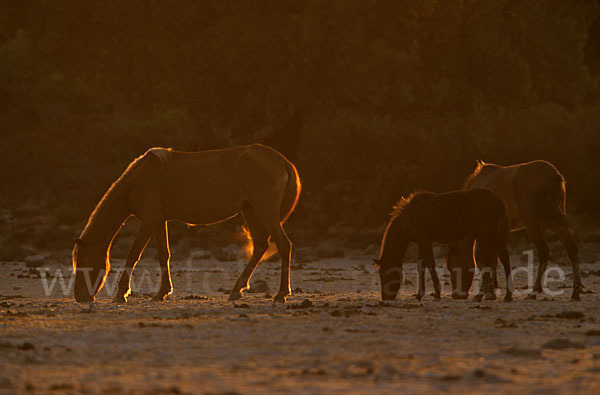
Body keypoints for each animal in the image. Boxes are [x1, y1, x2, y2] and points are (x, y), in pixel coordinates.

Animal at [72, 144, 302, 304]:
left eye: (82, 262)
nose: (80, 297)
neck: (139, 179)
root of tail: (283, 161)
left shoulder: (148, 221)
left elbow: (133, 255)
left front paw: (121, 293)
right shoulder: (158, 221)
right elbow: (163, 255)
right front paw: (162, 292)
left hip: (265, 212)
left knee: (284, 245)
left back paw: (281, 294)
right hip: (251, 211)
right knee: (261, 245)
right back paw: (237, 289)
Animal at [372, 189, 508, 304]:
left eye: (384, 274)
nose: (386, 298)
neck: (410, 216)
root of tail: (496, 199)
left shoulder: (424, 240)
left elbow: (430, 265)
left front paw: (436, 294)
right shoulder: (421, 242)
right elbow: (421, 266)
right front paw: (419, 295)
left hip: (484, 235)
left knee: (494, 261)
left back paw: (484, 296)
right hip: (491, 235)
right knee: (501, 259)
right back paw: (504, 295)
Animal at [448, 159, 584, 302]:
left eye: (451, 267)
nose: (456, 295)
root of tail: (554, 176)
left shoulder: (484, 231)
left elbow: (484, 258)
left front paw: (485, 293)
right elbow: (495, 259)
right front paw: (491, 292)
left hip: (533, 222)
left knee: (543, 251)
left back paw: (534, 291)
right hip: (553, 221)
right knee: (572, 249)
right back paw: (575, 292)